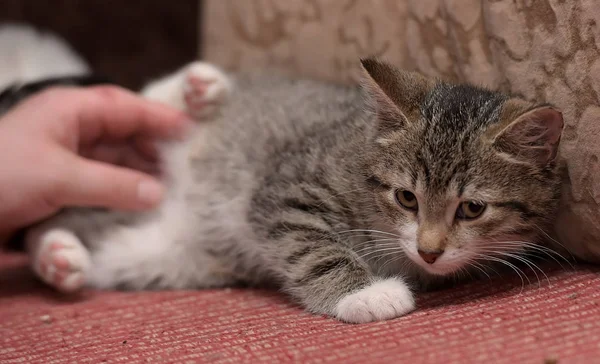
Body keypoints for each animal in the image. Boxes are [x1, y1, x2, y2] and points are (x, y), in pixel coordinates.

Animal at [27, 58, 564, 322]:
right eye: (406, 197)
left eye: (471, 209)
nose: (429, 250)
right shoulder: (287, 188)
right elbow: (314, 247)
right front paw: (365, 294)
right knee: (145, 104)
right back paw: (197, 89)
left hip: (169, 255)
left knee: (95, 240)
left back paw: (60, 257)